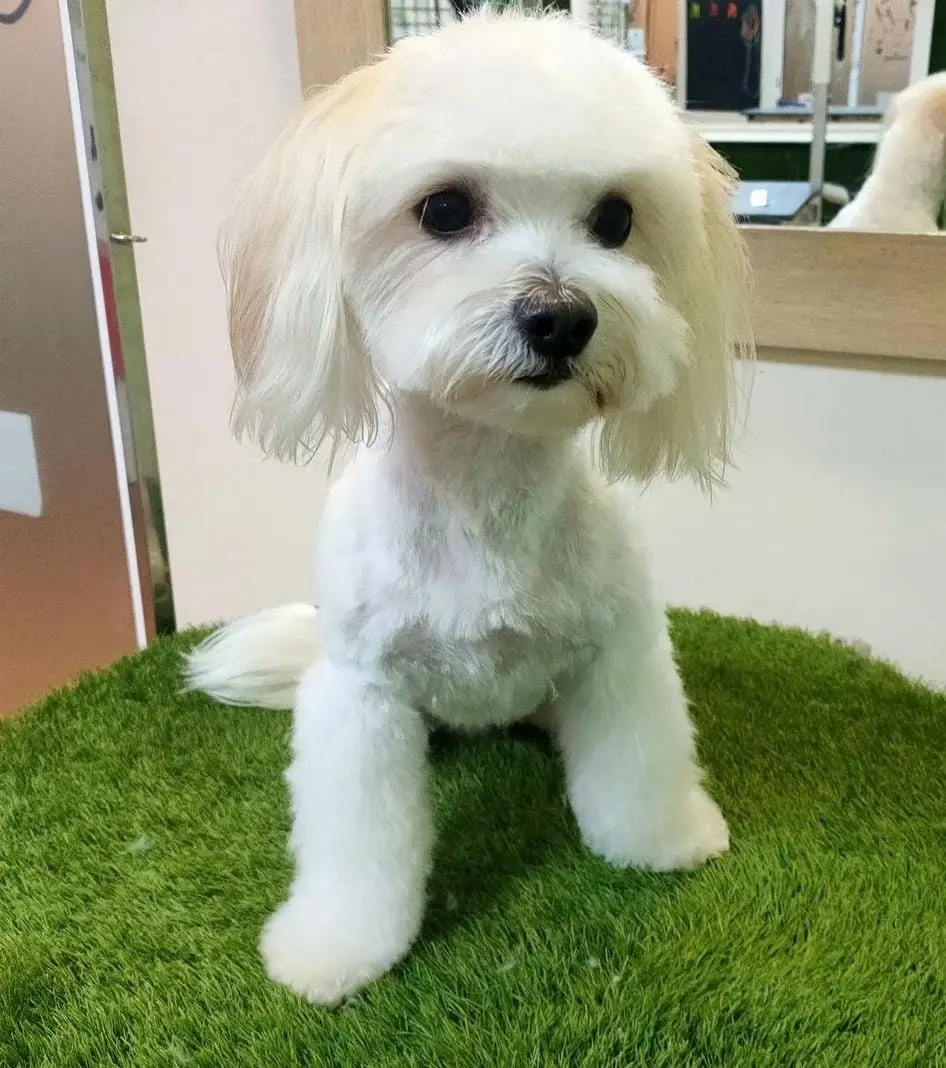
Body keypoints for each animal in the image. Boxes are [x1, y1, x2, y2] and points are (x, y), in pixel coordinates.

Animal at [188, 10, 755, 1008]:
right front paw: (335, 947)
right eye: (445, 209)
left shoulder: (621, 652)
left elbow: (638, 767)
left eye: (616, 219)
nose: (562, 316)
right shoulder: (362, 694)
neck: (485, 493)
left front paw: (664, 840)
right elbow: (358, 847)